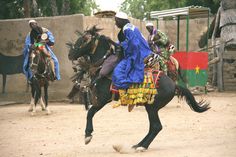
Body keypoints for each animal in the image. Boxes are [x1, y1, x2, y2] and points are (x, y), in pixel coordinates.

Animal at [67, 25, 209, 151]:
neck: (104, 67)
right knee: (153, 127)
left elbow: (90, 113)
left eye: (84, 40)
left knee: (156, 126)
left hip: (152, 107)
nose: (70, 54)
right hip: (151, 107)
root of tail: (174, 85)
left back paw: (141, 146)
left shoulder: (102, 99)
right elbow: (90, 112)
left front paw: (87, 135)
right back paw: (138, 144)